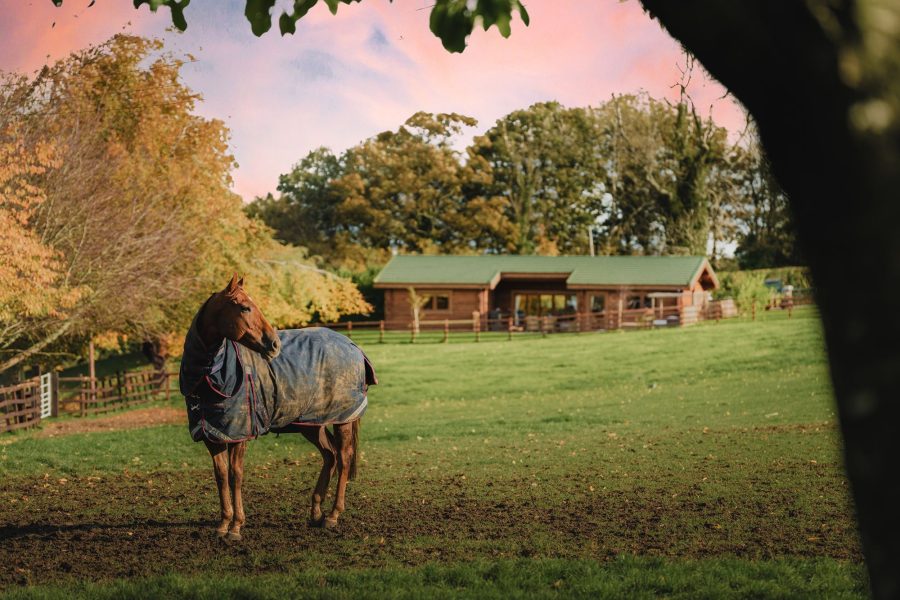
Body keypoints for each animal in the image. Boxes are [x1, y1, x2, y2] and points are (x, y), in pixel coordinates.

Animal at [179, 274, 376, 541]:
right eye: (245, 307)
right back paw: (316, 512)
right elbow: (221, 476)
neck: (210, 378)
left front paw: (236, 527)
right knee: (330, 456)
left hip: (342, 418)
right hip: (312, 424)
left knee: (344, 458)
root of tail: (352, 345)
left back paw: (333, 515)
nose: (274, 344)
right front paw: (223, 524)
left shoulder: (240, 433)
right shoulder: (213, 434)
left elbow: (235, 475)